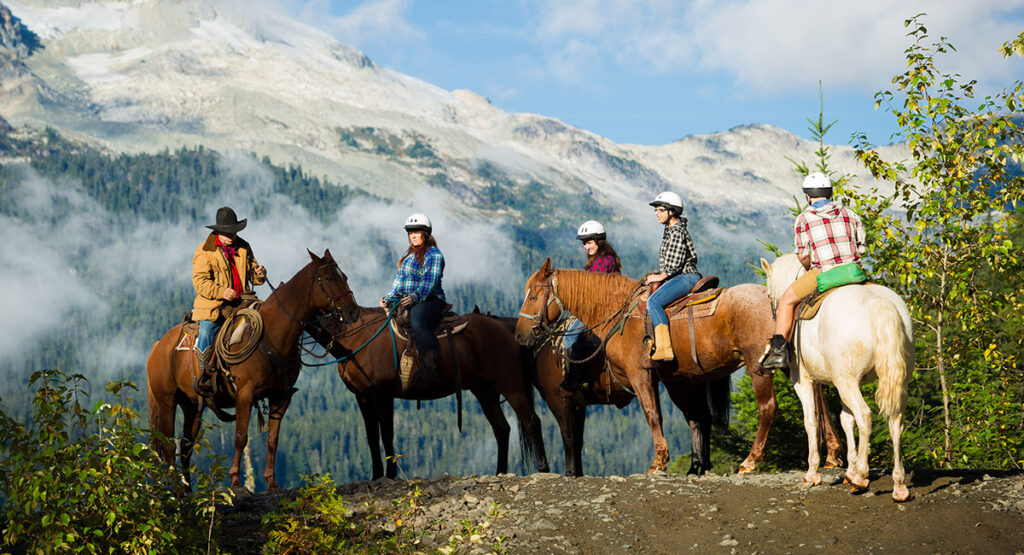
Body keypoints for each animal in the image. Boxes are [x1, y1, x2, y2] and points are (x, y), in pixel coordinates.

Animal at [146, 249, 358, 489]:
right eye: (329, 278)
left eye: (345, 277)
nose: (353, 312)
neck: (273, 335)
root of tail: (159, 345)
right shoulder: (245, 395)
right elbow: (241, 437)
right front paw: (236, 480)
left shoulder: (281, 397)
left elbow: (273, 440)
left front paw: (271, 482)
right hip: (167, 401)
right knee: (169, 446)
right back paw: (177, 491)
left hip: (192, 405)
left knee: (186, 446)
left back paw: (188, 490)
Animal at [307, 307, 552, 481]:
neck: (358, 338)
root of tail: (506, 327)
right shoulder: (363, 397)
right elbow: (371, 436)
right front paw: (376, 475)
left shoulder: (382, 394)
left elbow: (386, 434)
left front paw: (390, 475)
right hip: (484, 391)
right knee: (501, 429)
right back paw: (500, 472)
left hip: (511, 386)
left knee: (532, 422)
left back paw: (544, 469)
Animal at [512, 260, 839, 475]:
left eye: (533, 295)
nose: (520, 335)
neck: (616, 312)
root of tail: (778, 297)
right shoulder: (658, 380)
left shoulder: (637, 377)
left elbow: (651, 415)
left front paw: (659, 461)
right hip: (781, 362)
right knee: (818, 398)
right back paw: (832, 453)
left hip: (758, 366)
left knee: (768, 407)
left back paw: (750, 460)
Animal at [761, 257, 913, 503]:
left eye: (767, 294)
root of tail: (878, 303)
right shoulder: (849, 382)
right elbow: (845, 420)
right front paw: (849, 470)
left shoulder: (803, 380)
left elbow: (812, 421)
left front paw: (813, 474)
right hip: (887, 380)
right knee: (895, 420)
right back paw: (898, 485)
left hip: (845, 382)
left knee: (865, 416)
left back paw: (861, 478)